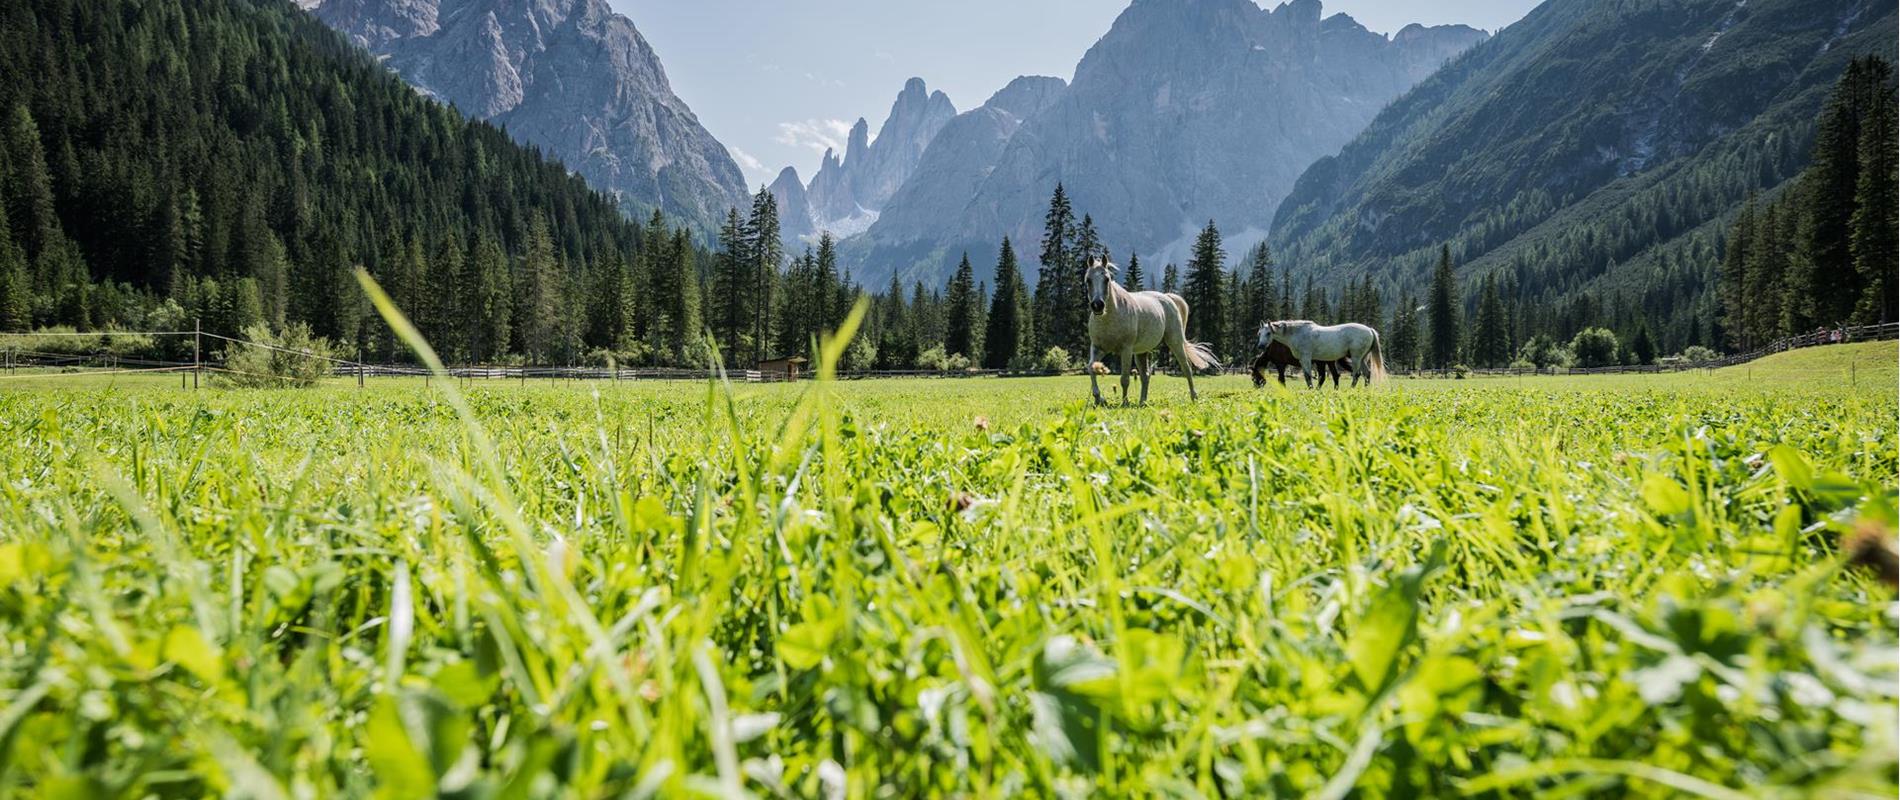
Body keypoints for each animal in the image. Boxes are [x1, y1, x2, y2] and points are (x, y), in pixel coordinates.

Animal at [1086, 256, 1216, 404]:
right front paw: (1099, 398)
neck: (1109, 318)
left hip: (1175, 342)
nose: (1097, 305)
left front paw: (1124, 402)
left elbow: (1124, 379)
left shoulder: (1126, 350)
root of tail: (1168, 298)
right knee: (1145, 375)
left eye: (1107, 279)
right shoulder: (1098, 348)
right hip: (1141, 352)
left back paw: (1194, 397)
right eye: (1088, 279)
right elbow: (1091, 368)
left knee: (1186, 368)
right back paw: (1142, 401)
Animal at [1254, 321, 1390, 389]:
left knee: (1357, 374)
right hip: (1361, 359)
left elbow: (1308, 376)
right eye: (1259, 333)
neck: (1297, 333)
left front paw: (1311, 389)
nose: (1260, 346)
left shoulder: (1305, 359)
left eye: (1268, 333)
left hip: (1356, 357)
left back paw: (1351, 389)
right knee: (1367, 374)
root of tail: (1370, 330)